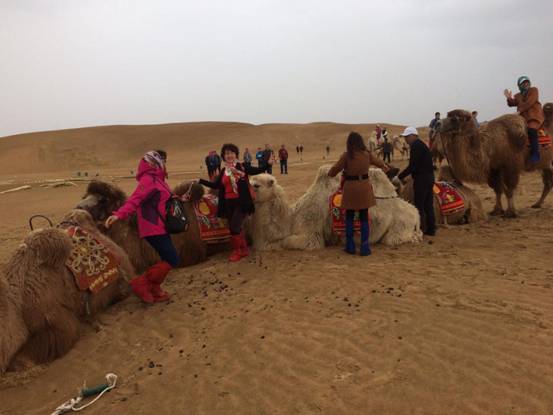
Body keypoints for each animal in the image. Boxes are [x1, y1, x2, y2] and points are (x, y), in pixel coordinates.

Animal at [248, 166, 422, 251]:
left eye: (256, 185)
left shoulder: (311, 235)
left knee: (395, 239)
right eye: (249, 182)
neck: (291, 218)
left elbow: (287, 241)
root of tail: (415, 212)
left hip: (399, 226)